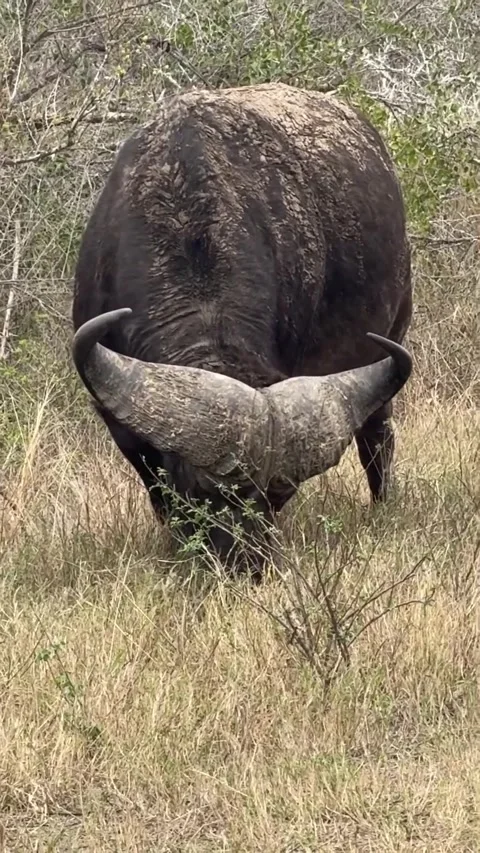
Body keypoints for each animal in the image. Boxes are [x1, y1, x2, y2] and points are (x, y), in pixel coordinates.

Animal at [72, 82, 413, 574]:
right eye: (202, 489)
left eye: (280, 494)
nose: (247, 567)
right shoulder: (118, 420)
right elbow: (156, 488)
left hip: (393, 335)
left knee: (377, 438)